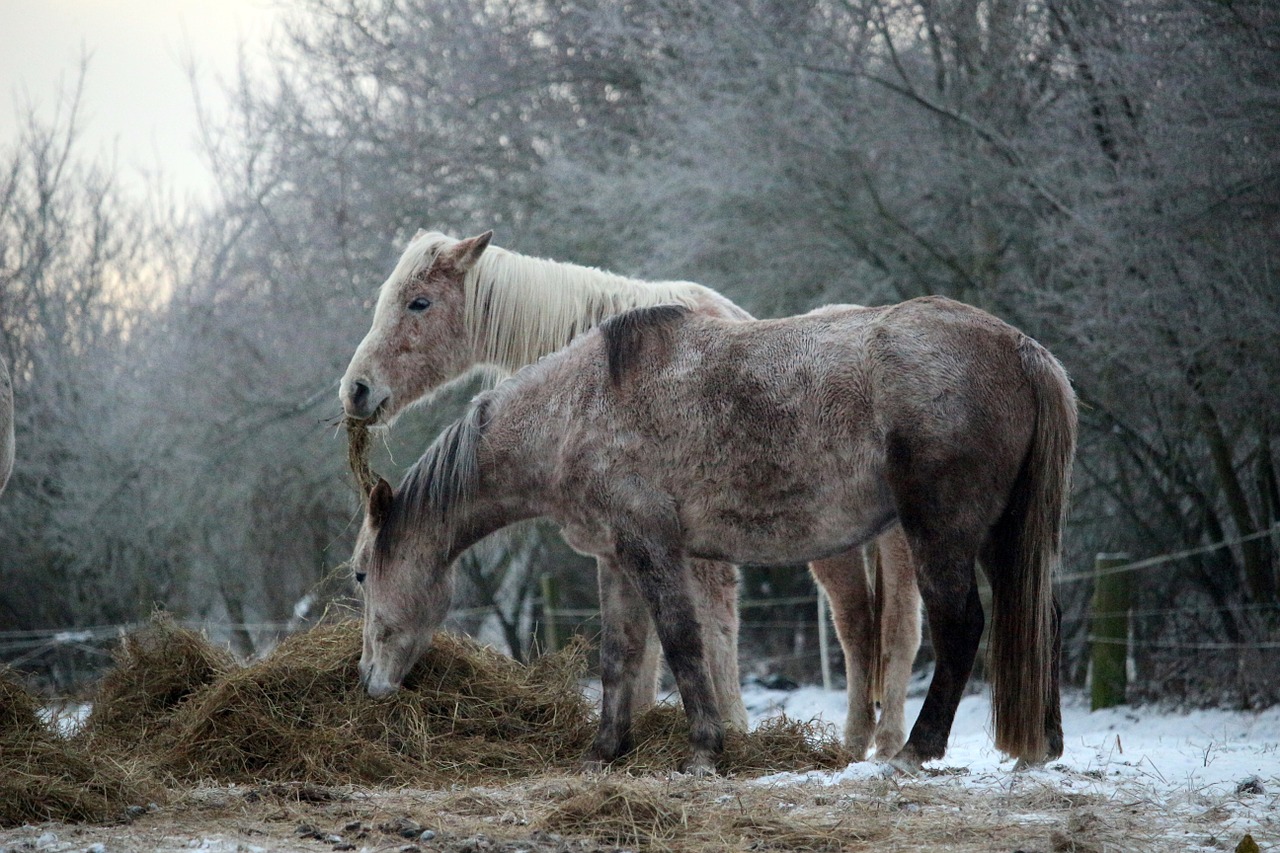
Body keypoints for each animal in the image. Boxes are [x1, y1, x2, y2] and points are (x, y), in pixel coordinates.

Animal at [348, 295, 1070, 773]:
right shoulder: (617, 558)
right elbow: (619, 656)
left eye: (360, 574)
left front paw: (703, 749)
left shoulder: (654, 549)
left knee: (960, 628)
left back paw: (913, 752)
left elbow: (681, 641)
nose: (369, 683)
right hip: (1006, 535)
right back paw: (1040, 748)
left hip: (938, 533)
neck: (577, 407)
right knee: (1039, 617)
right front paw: (604, 751)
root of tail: (1020, 347)